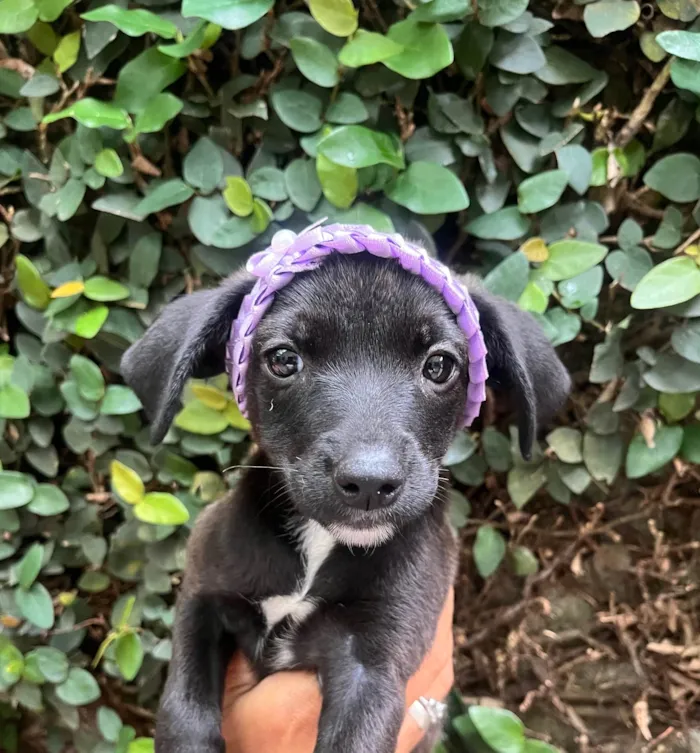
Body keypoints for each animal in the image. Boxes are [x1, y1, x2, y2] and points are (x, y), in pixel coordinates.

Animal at [120, 253, 568, 752]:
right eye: (283, 359)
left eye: (439, 365)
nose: (370, 482)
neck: (319, 545)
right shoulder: (203, 594)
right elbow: (185, 706)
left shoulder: (371, 663)